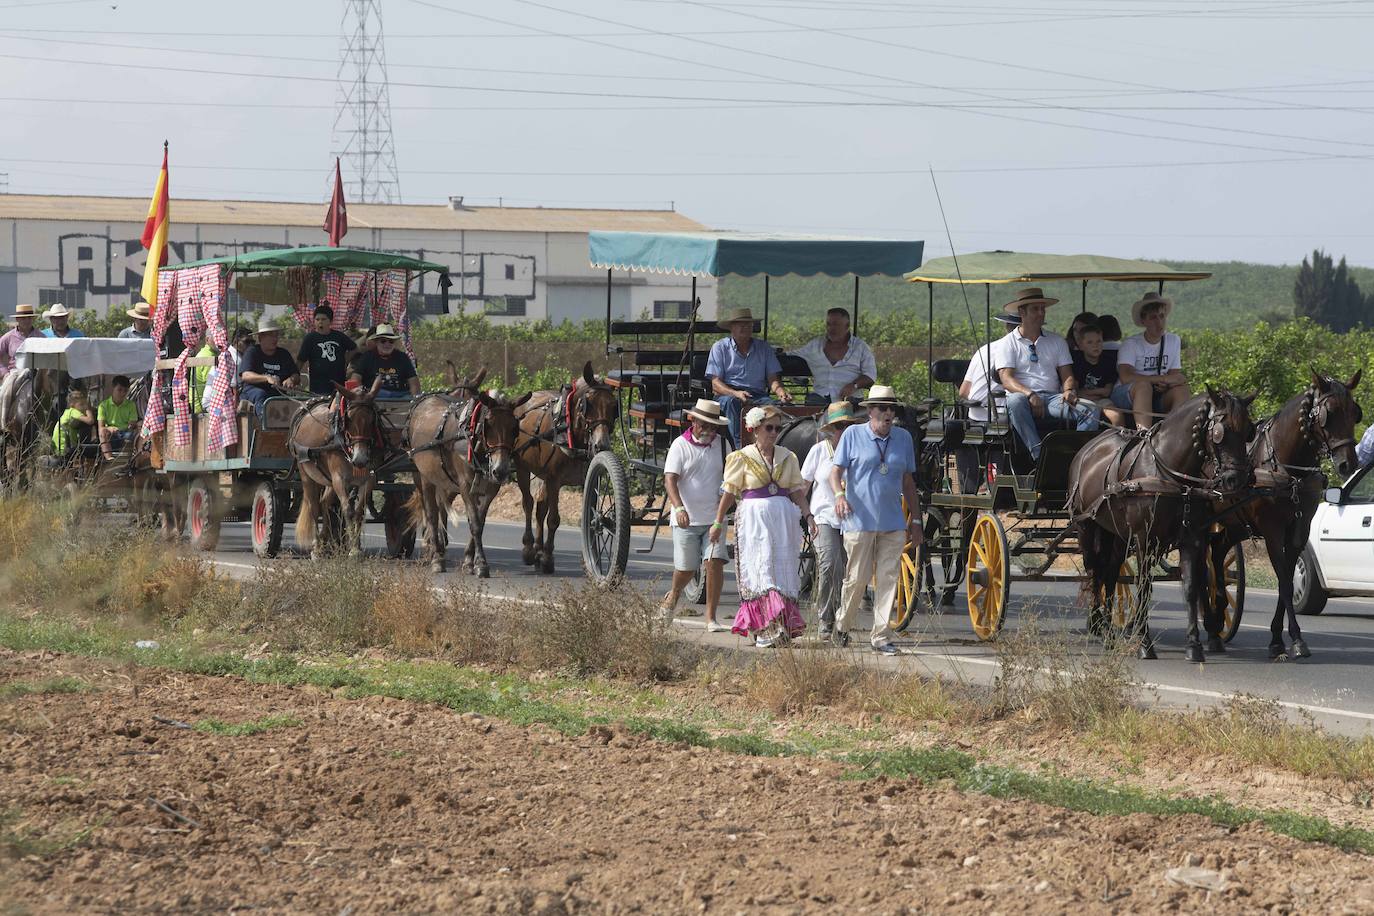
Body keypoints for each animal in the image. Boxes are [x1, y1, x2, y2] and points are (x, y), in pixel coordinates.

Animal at [289, 387, 384, 560]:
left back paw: (325, 542)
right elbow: (348, 510)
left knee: (324, 503)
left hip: (329, 481)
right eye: (349, 419)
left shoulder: (369, 480)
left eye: (372, 419)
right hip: (307, 475)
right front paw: (353, 550)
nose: (360, 459)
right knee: (314, 507)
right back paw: (317, 547)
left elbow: (358, 512)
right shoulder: (339, 479)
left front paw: (356, 547)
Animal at [406, 390, 530, 576]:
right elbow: (475, 524)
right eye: (488, 425)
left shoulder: (490, 489)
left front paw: (469, 561)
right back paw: (436, 558)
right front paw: (481, 564)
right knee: (431, 515)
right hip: (424, 477)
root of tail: (423, 401)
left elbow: (479, 521)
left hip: (444, 482)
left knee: (440, 509)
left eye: (515, 429)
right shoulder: (465, 486)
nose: (500, 470)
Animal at [513, 362, 615, 574]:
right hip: (522, 468)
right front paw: (547, 558)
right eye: (588, 405)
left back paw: (537, 550)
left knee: (540, 509)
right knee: (528, 503)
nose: (601, 445)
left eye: (613, 406)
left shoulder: (583, 479)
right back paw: (529, 549)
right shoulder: (554, 479)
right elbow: (553, 519)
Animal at [1066, 390, 1258, 661]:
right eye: (1220, 432)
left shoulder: (1192, 538)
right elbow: (1145, 587)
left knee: (1111, 573)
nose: (1237, 479)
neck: (1170, 473)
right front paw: (1145, 643)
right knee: (1095, 571)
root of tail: (1086, 450)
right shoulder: (1144, 539)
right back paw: (1098, 624)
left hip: (1117, 535)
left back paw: (1107, 630)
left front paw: (1194, 645)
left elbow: (1191, 586)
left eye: (1248, 431)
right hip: (1087, 527)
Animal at [1214, 370, 1352, 659]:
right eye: (1329, 414)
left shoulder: (1299, 530)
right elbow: (1285, 581)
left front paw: (1278, 638)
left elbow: (1286, 580)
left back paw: (1216, 618)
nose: (1349, 463)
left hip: (1234, 525)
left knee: (1217, 553)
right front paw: (1295, 639)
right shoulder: (1272, 530)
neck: (1290, 472)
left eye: (1355, 412)